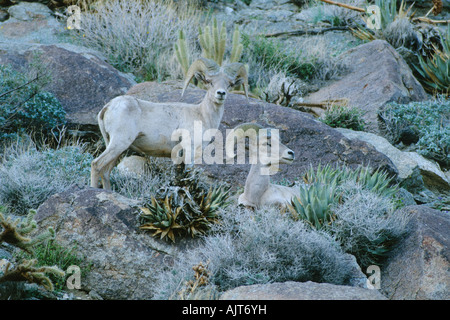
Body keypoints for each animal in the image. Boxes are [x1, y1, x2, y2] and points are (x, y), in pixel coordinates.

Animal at [89, 57, 248, 189]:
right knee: (96, 165)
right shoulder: (189, 151)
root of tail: (108, 106)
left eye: (230, 84)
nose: (221, 93)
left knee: (106, 172)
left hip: (117, 147)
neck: (202, 115)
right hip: (119, 143)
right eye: (209, 82)